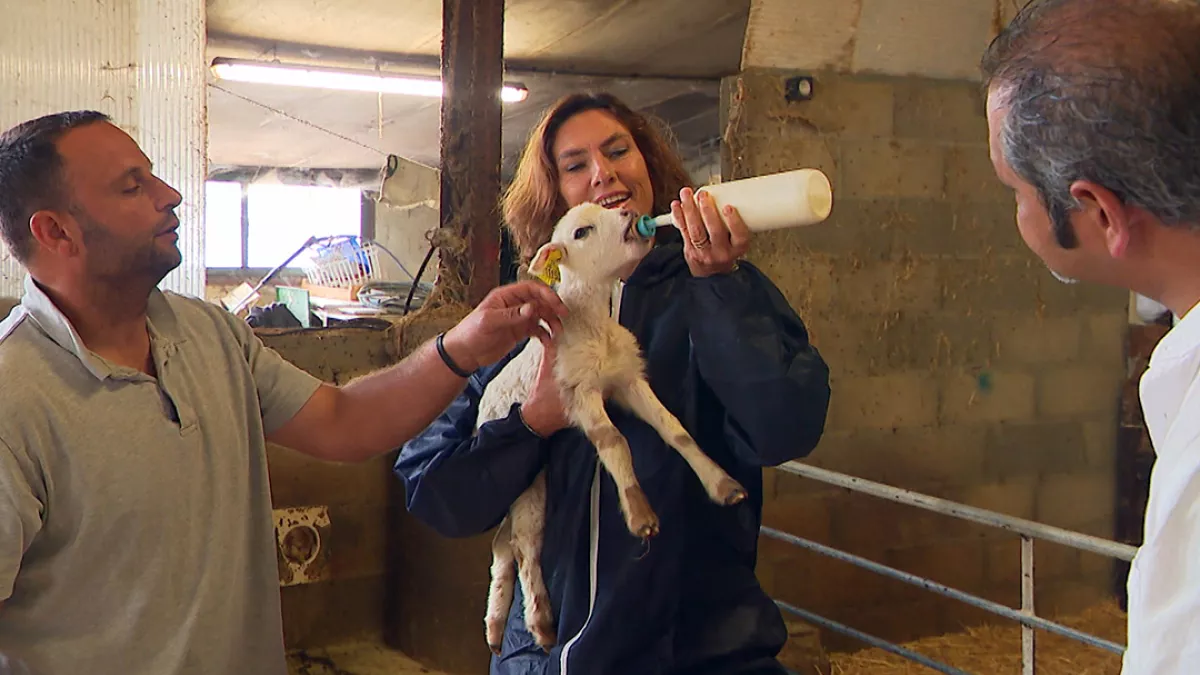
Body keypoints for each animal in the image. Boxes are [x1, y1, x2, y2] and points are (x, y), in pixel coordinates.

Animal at [472, 200, 744, 653]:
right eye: (581, 232)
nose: (633, 215)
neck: (593, 324)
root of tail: (483, 406)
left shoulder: (627, 380)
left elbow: (675, 429)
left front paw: (722, 484)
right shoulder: (576, 392)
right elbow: (614, 442)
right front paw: (640, 514)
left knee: (502, 543)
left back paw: (495, 624)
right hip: (527, 480)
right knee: (525, 544)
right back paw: (540, 622)